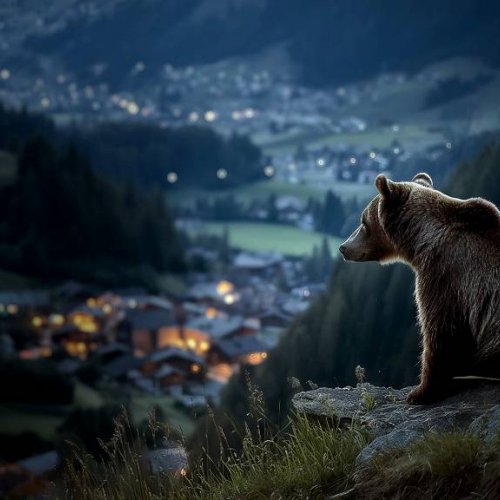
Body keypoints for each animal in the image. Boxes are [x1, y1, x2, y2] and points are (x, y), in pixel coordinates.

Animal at [340, 174, 500, 404]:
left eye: (363, 221)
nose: (343, 247)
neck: (419, 241)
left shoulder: (444, 275)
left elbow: (441, 333)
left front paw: (420, 392)